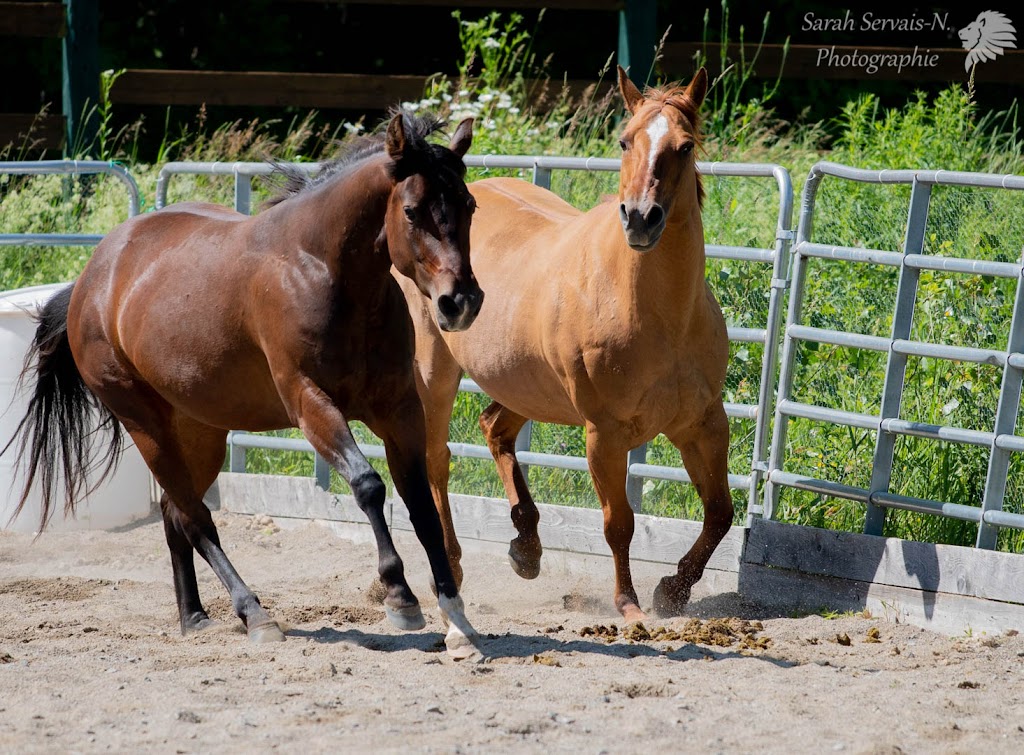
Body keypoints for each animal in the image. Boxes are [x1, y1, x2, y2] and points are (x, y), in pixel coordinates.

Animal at [4, 111, 483, 655]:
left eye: (468, 204)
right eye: (411, 209)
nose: (460, 302)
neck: (322, 270)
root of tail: (91, 279)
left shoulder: (398, 408)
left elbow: (420, 501)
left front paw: (456, 616)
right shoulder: (310, 404)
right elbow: (367, 486)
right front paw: (399, 595)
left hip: (201, 431)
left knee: (174, 513)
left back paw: (194, 617)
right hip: (145, 424)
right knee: (195, 519)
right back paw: (255, 614)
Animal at [399, 67, 729, 622]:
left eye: (684, 147)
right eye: (624, 140)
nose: (640, 218)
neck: (657, 314)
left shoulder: (702, 423)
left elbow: (720, 514)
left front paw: (673, 590)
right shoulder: (605, 433)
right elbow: (619, 523)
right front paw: (629, 604)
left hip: (525, 383)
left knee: (494, 429)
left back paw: (526, 547)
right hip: (434, 373)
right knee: (435, 459)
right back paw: (452, 567)